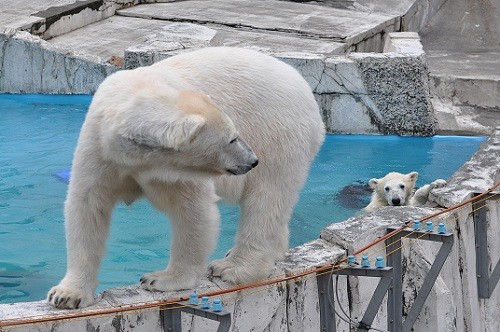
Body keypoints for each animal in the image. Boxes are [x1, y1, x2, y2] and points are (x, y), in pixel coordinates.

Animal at [47, 46, 324, 308]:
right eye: (232, 138)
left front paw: (160, 279)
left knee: (266, 199)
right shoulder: (100, 148)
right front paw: (66, 294)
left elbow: (193, 211)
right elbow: (88, 206)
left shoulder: (178, 172)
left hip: (278, 133)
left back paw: (232, 267)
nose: (252, 160)